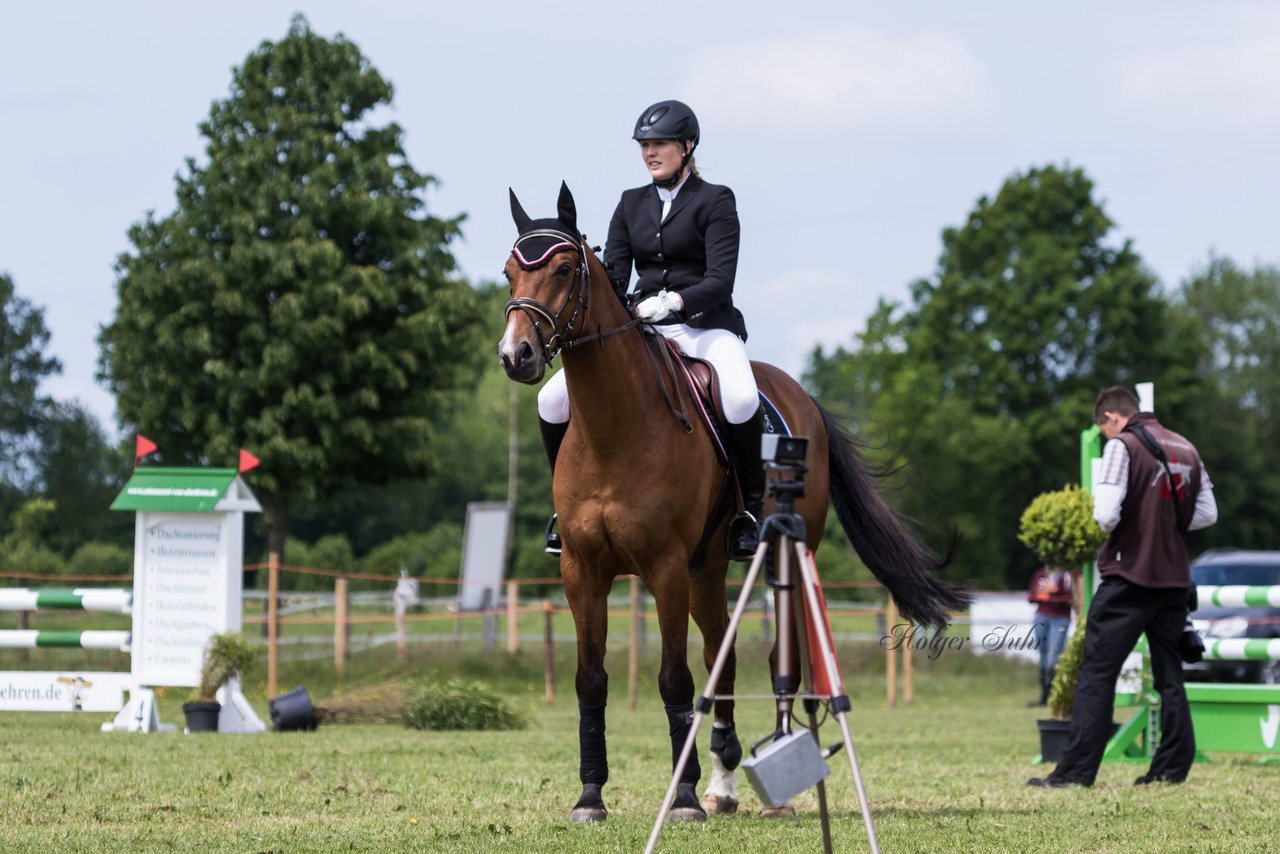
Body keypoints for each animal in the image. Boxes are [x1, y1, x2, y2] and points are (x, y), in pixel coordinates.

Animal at [494, 184, 962, 824]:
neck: (614, 428)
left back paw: (772, 787)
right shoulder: (581, 570)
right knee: (726, 657)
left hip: (773, 557)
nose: (515, 355)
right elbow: (591, 679)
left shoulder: (664, 568)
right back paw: (725, 785)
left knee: (780, 661)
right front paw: (591, 797)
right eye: (510, 270)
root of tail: (799, 395)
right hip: (706, 570)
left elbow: (674, 679)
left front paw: (684, 798)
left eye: (564, 269)